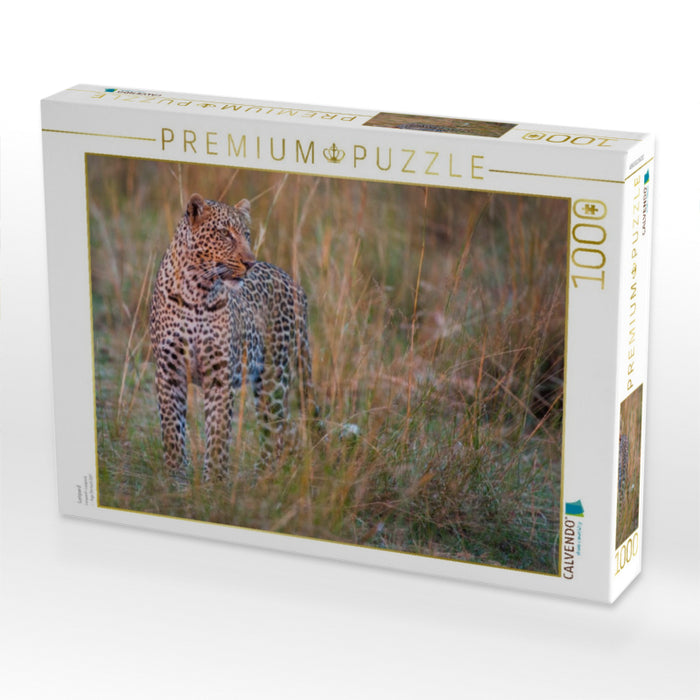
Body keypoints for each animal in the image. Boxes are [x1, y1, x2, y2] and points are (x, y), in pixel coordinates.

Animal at [149, 193, 314, 485]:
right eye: (225, 234)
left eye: (247, 235)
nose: (250, 263)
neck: (197, 293)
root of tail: (295, 284)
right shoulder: (169, 372)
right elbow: (171, 430)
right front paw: (175, 477)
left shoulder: (220, 375)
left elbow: (218, 433)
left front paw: (214, 482)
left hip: (273, 377)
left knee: (278, 432)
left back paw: (262, 480)